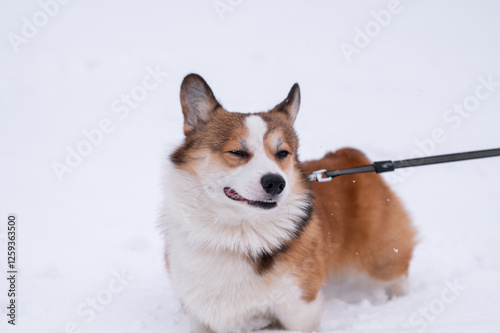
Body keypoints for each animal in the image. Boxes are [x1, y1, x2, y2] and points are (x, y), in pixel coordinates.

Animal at [161, 74, 418, 330]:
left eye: (282, 153)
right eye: (237, 152)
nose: (276, 183)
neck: (238, 235)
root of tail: (351, 155)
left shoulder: (301, 310)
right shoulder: (198, 315)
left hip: (381, 257)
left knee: (398, 272)